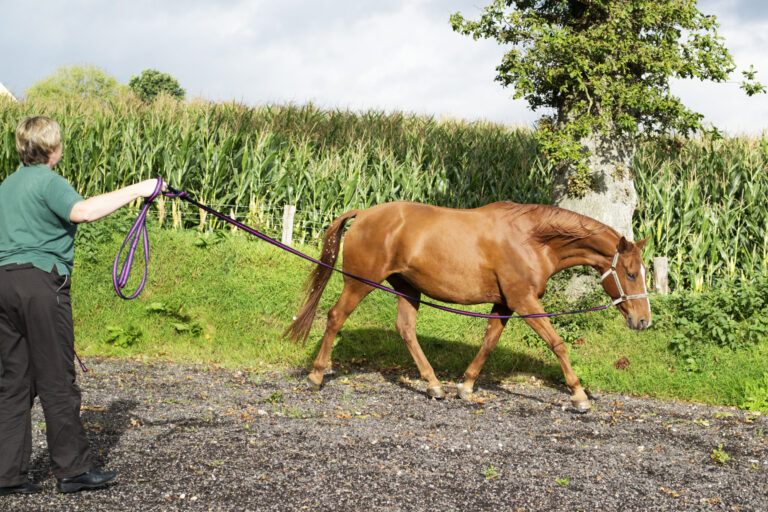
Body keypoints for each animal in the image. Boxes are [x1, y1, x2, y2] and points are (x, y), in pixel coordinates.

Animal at [284, 201, 651, 411]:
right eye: (631, 273)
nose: (643, 321)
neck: (532, 239)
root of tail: (363, 213)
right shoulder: (524, 301)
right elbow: (556, 343)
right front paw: (579, 396)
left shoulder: (504, 304)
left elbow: (488, 343)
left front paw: (465, 387)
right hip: (359, 282)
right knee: (335, 317)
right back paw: (316, 376)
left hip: (407, 288)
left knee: (406, 329)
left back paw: (434, 385)